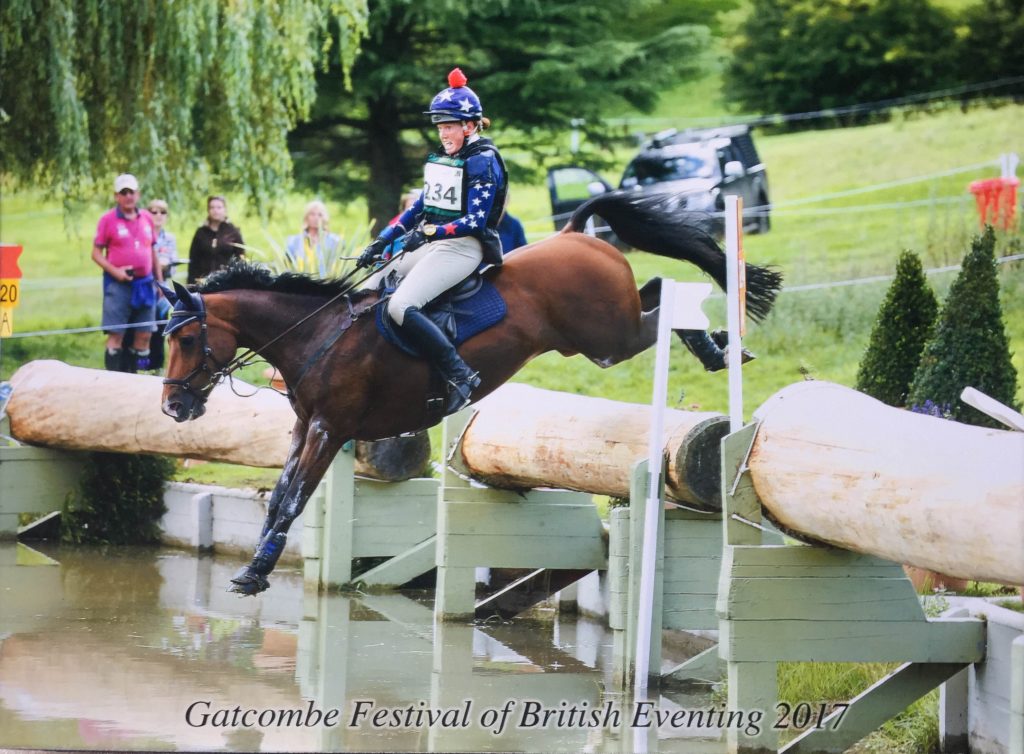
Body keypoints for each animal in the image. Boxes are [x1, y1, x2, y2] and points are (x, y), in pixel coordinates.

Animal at [161, 189, 782, 594]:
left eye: (188, 338)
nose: (173, 405)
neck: (317, 334)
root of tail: (575, 233)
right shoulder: (303, 426)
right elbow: (280, 496)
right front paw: (255, 568)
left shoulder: (329, 428)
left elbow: (294, 498)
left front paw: (256, 574)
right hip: (600, 334)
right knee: (653, 290)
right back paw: (718, 345)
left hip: (608, 337)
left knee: (659, 307)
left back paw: (718, 346)